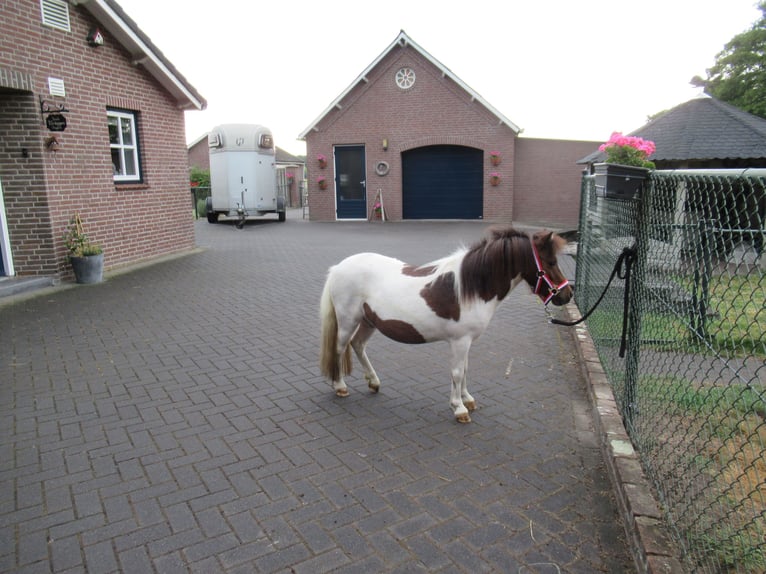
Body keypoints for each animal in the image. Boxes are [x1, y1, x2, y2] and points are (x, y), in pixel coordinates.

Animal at [318, 225, 573, 423]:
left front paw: (468, 400)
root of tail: (338, 268)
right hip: (348, 320)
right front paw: (459, 408)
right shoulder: (460, 341)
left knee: (358, 345)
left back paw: (373, 382)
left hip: (369, 321)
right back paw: (340, 386)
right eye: (551, 262)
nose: (567, 295)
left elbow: (466, 369)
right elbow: (458, 372)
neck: (472, 287)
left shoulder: (468, 342)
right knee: (340, 348)